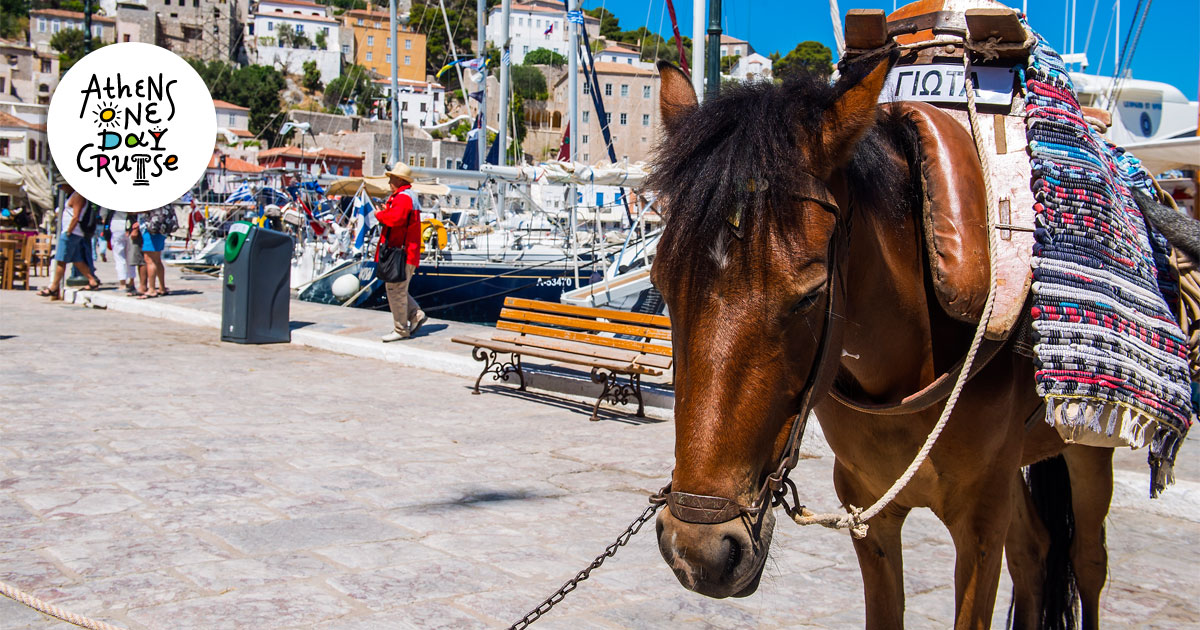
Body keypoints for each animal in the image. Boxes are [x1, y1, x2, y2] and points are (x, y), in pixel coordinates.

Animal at [648, 55, 1113, 628]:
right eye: (663, 285)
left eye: (810, 295)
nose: (698, 552)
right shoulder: (869, 511)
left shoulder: (981, 522)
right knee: (1035, 551)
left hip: (1087, 450)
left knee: (1087, 561)